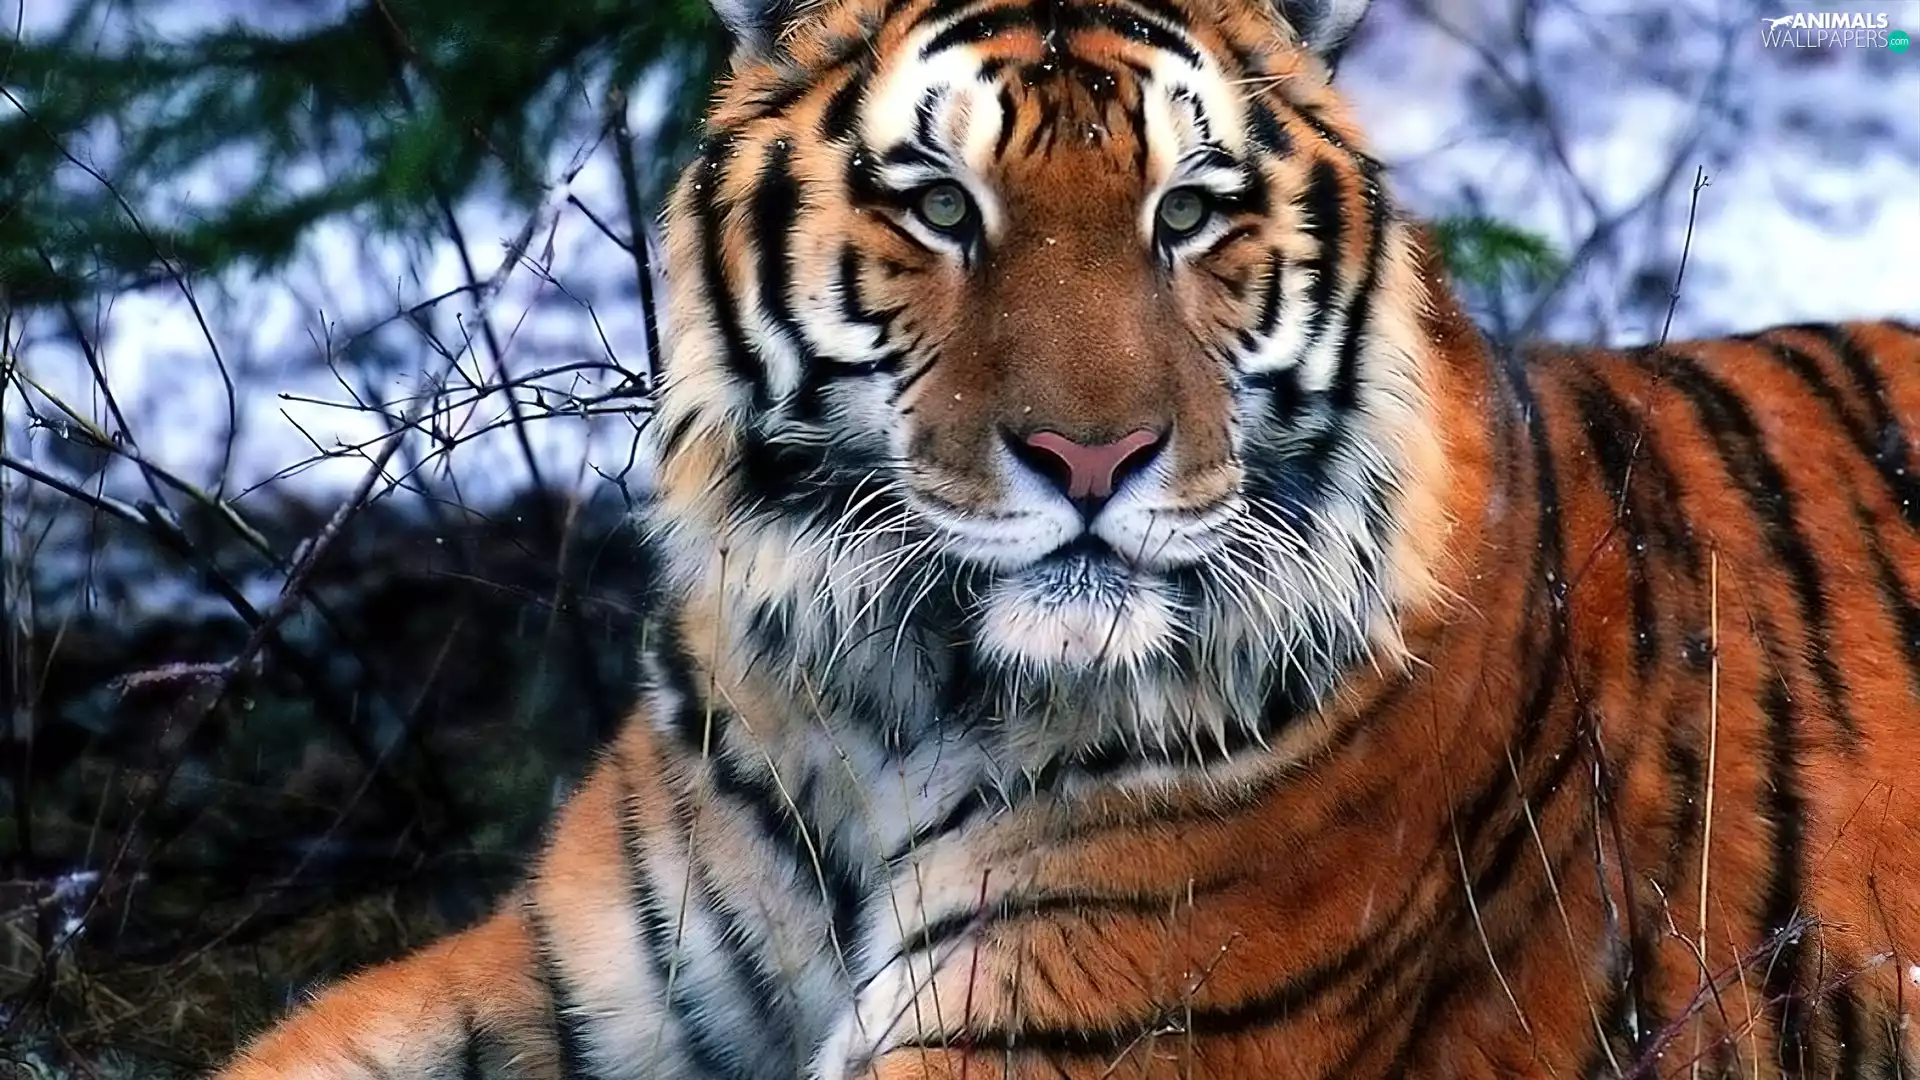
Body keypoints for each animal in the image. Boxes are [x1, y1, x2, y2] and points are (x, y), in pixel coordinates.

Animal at [214, 0, 1920, 1076]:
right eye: (939, 205)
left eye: (1189, 212)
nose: (1091, 457)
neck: (887, 697)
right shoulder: (562, 979)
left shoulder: (1053, 1031)